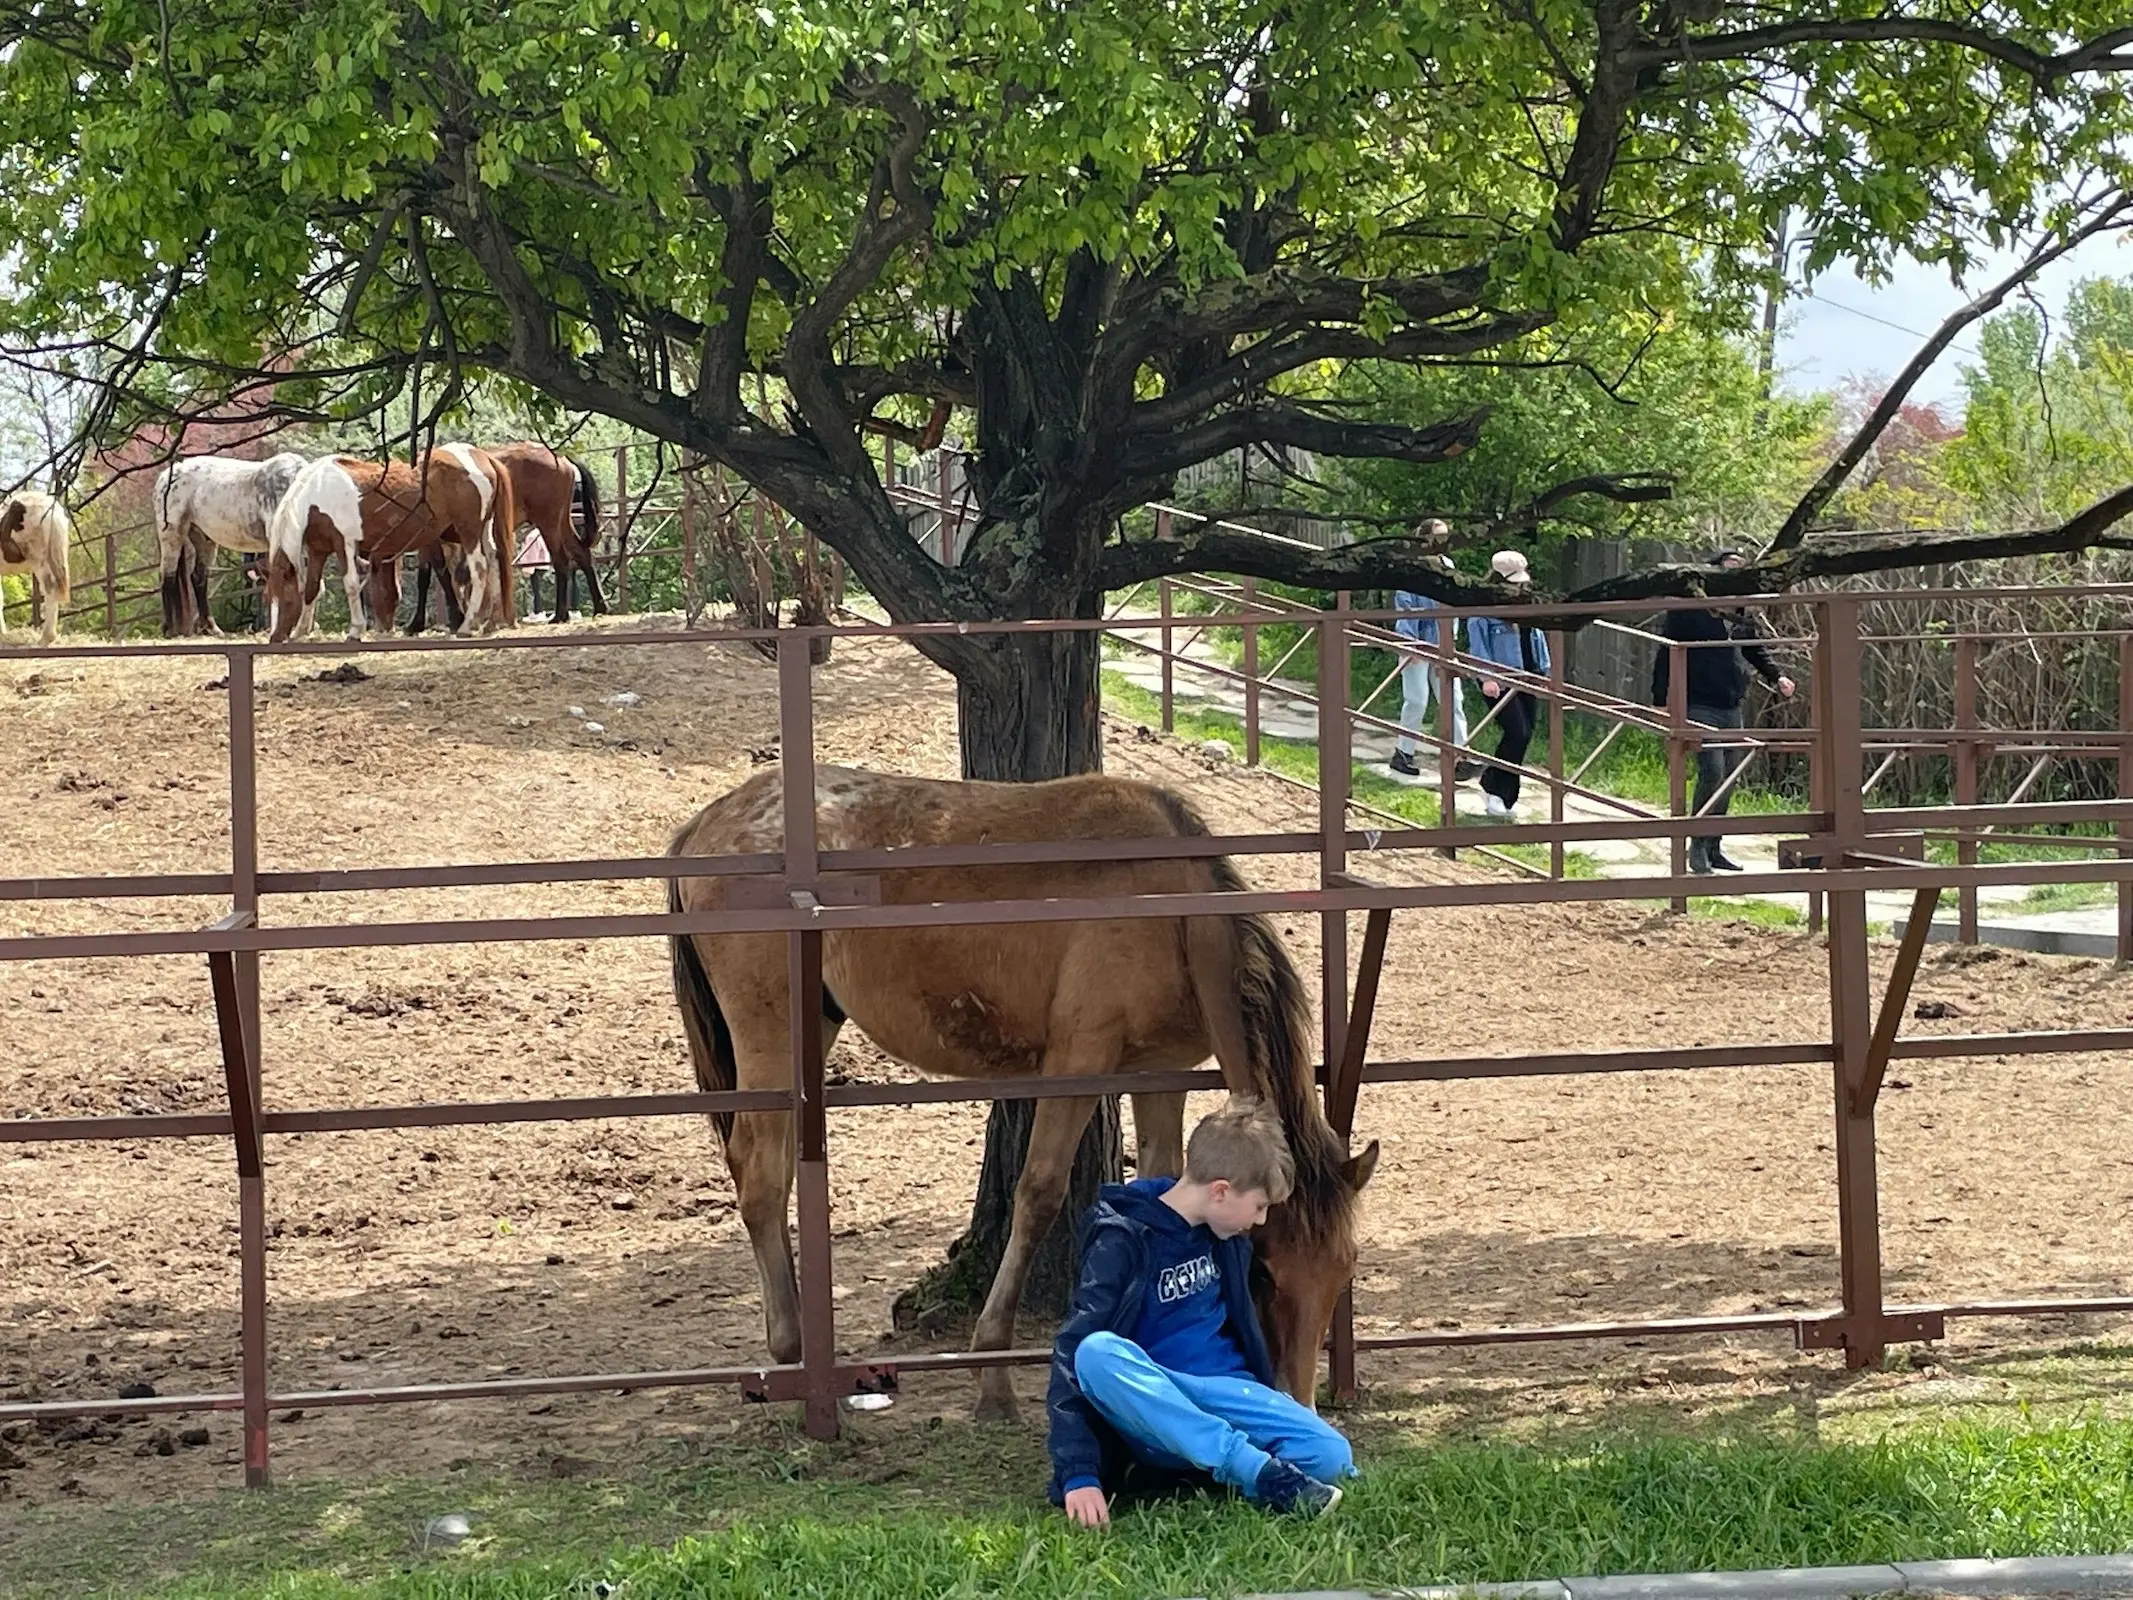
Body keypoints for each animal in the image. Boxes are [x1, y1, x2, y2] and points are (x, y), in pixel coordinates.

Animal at [154, 452, 309, 640]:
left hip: (203, 539)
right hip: (172, 534)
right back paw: (169, 629)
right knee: (167, 576)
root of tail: (167, 475)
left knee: (198, 578)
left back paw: (212, 628)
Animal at [264, 448, 514, 644]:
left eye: (286, 598)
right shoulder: (319, 549)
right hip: (482, 529)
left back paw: (467, 625)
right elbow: (311, 588)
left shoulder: (345, 543)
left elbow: (351, 585)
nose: (275, 637)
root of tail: (479, 456)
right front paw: (300, 630)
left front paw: (356, 631)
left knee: (480, 569)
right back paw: (489, 623)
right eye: (269, 598)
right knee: (493, 561)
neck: (316, 494)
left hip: (468, 531)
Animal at [665, 772, 1382, 1425]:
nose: (1298, 1403)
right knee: (759, 1177)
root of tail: (705, 823)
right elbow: (1038, 1194)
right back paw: (793, 1361)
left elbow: (1160, 1184)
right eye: (1264, 1270)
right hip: (770, 1034)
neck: (1175, 910)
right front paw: (993, 1377)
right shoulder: (1078, 1060)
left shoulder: (1161, 1074)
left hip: (811, 1026)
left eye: (1344, 1271)